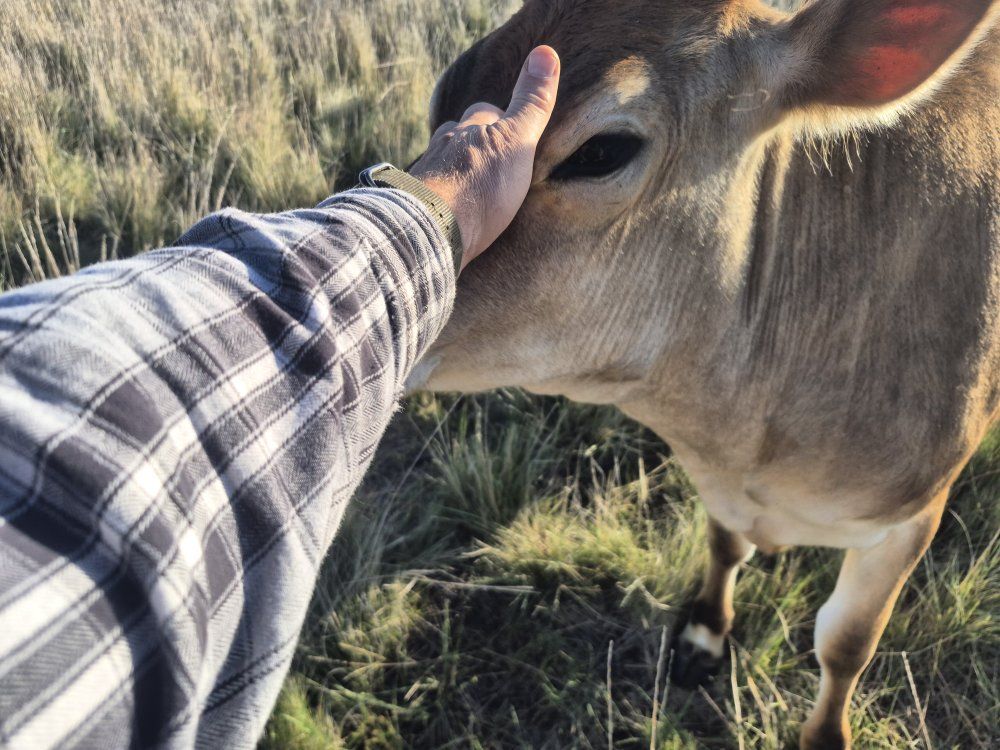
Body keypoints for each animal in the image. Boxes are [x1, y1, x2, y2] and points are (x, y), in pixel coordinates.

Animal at [406, 0, 1000, 747]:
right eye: (444, 94)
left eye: (601, 151)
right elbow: (723, 546)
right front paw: (704, 635)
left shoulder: (910, 517)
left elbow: (846, 643)